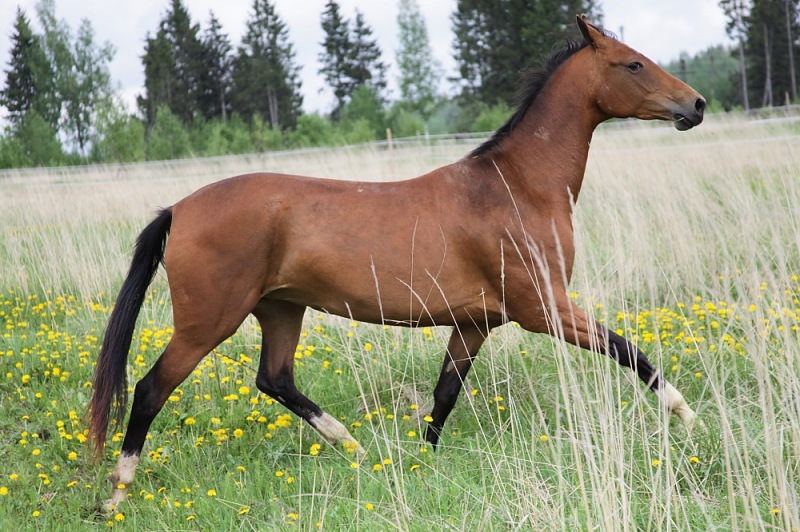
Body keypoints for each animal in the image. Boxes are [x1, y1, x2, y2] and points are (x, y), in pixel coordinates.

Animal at [89, 16, 705, 509]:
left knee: (275, 379)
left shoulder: (476, 322)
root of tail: (179, 208)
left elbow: (444, 395)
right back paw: (118, 491)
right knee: (150, 389)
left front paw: (423, 463)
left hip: (281, 309)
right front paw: (688, 416)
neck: (515, 187)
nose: (695, 105)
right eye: (633, 63)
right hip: (208, 321)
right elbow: (629, 351)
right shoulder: (543, 309)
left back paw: (355, 445)